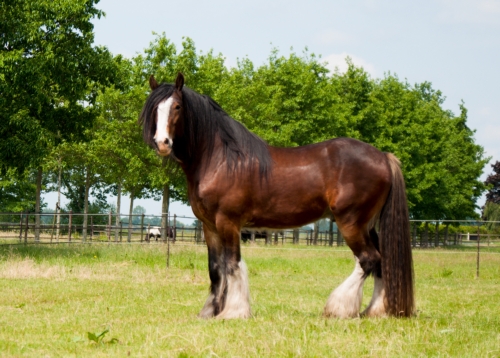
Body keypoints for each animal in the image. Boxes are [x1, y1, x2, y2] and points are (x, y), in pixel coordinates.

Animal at [138, 72, 414, 318]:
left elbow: (232, 265)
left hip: (350, 222)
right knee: (381, 263)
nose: (162, 143)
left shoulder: (228, 223)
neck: (221, 159)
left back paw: (340, 308)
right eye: (155, 109)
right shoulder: (209, 226)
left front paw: (233, 312)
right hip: (368, 225)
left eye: (177, 106)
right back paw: (375, 311)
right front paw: (209, 312)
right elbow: (216, 269)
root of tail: (383, 157)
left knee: (368, 260)